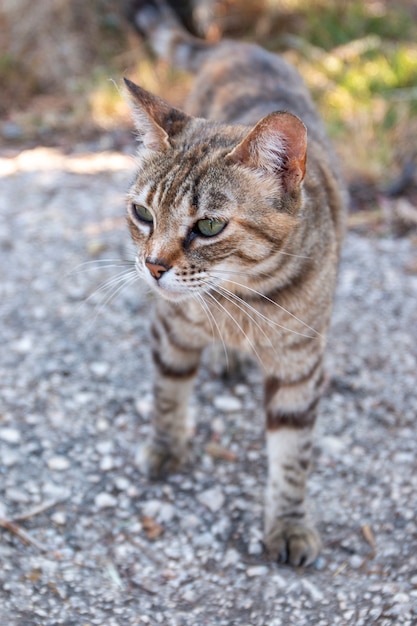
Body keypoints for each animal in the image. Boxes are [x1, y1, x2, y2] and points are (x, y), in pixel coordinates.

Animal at [123, 0, 348, 564]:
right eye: (143, 214)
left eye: (208, 226)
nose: (152, 265)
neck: (240, 300)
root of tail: (236, 46)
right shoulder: (170, 327)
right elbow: (167, 391)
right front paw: (166, 446)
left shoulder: (299, 364)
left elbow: (292, 455)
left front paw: (288, 522)